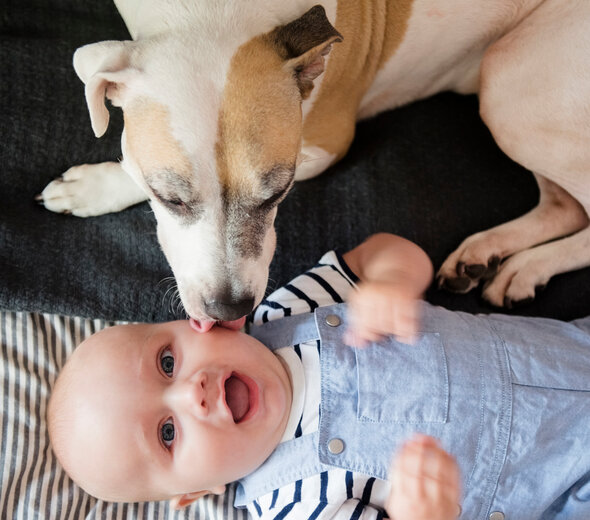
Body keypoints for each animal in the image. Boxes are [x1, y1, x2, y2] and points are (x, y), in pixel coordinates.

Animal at [38, 0, 590, 324]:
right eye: (169, 197)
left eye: (279, 193)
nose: (229, 308)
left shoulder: (326, 144)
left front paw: (97, 185)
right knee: (564, 207)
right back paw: (488, 254)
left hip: (510, 82)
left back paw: (529, 267)